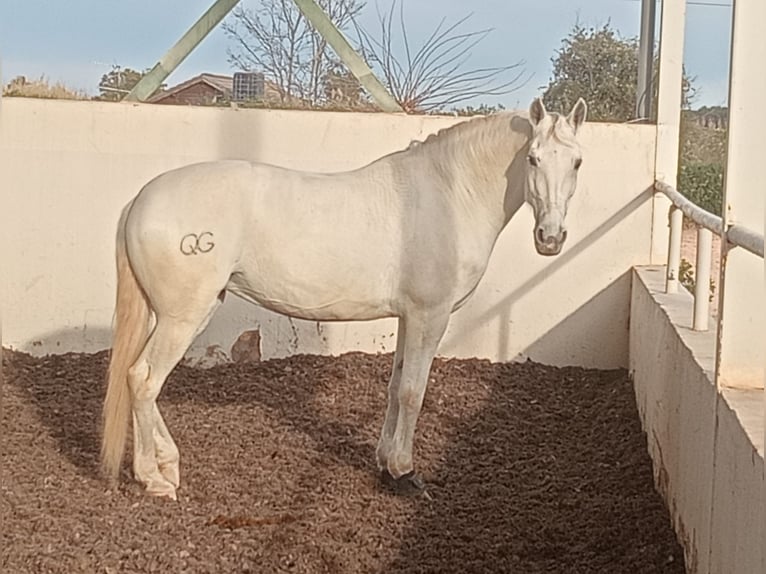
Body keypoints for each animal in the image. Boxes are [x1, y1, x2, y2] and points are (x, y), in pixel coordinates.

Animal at [102, 98, 592, 500]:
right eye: (533, 158)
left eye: (577, 162)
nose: (551, 238)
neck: (447, 196)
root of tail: (141, 199)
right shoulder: (429, 316)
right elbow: (414, 392)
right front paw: (405, 474)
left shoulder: (408, 318)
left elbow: (395, 387)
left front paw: (384, 465)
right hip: (183, 317)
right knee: (144, 379)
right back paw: (155, 479)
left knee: (141, 380)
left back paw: (168, 463)